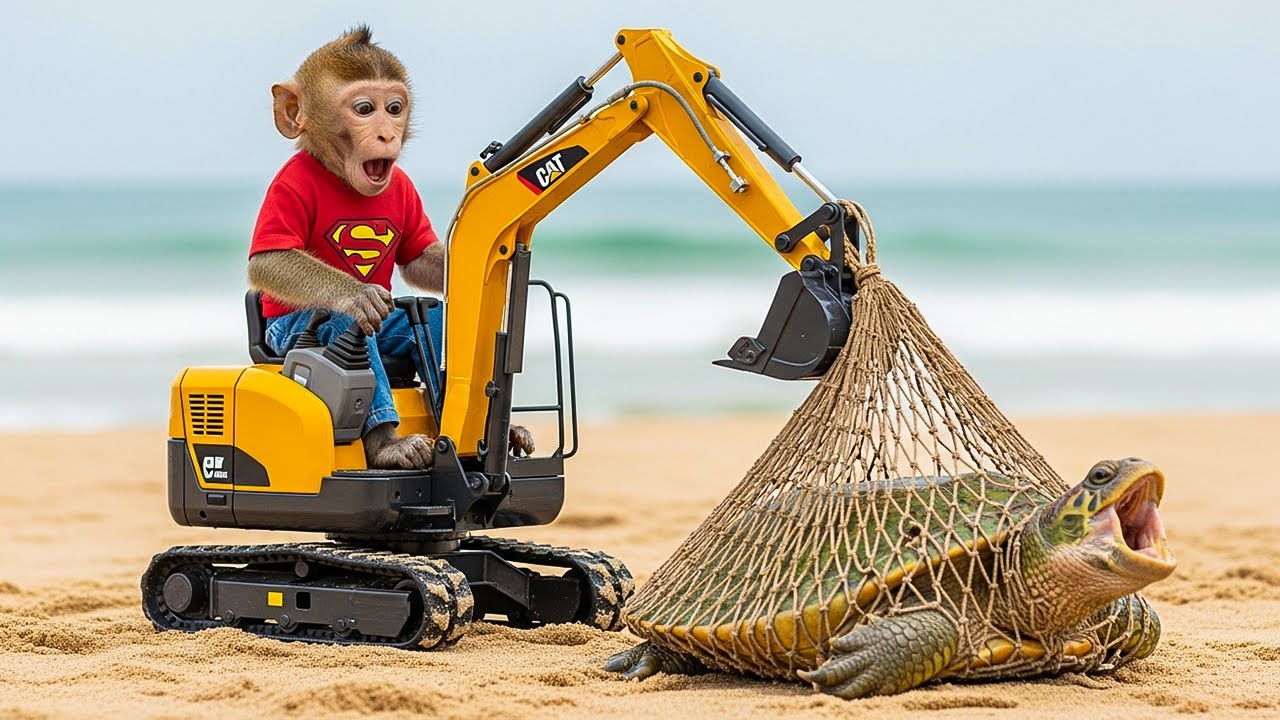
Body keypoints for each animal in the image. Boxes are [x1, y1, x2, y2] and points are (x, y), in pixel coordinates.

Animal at [247, 26, 534, 469]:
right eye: (365, 109)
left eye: (395, 108)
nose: (387, 133)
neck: (341, 178)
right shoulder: (289, 187)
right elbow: (269, 259)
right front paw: (361, 294)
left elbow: (419, 259)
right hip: (296, 333)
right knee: (345, 332)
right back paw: (393, 445)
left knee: (434, 320)